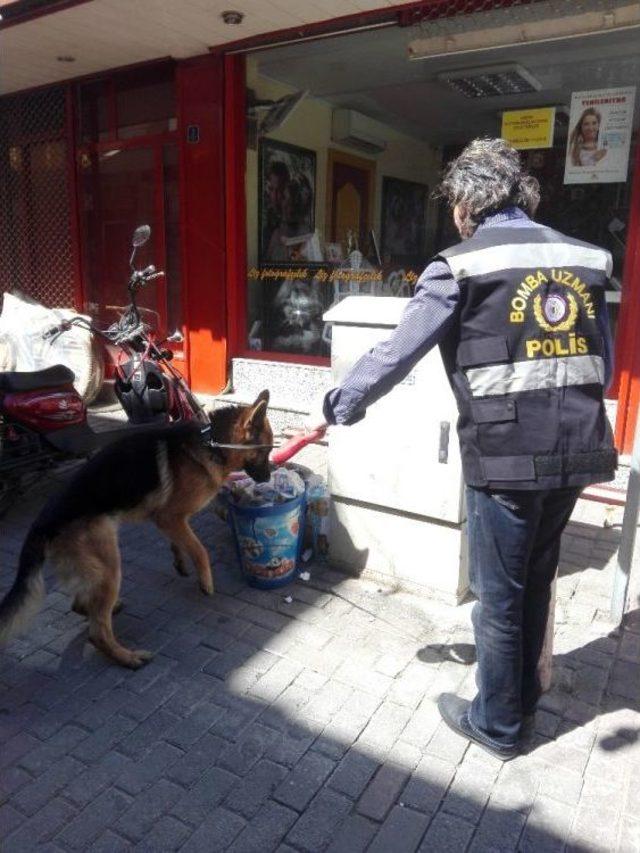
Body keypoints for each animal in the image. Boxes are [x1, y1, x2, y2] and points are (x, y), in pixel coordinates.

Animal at [0, 392, 272, 664]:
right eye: (267, 450)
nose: (269, 478)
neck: (212, 443)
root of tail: (41, 523)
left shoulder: (170, 521)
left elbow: (181, 543)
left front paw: (180, 561)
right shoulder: (169, 517)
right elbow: (199, 550)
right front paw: (206, 583)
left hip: (94, 569)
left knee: (81, 607)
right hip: (109, 566)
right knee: (97, 632)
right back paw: (128, 658)